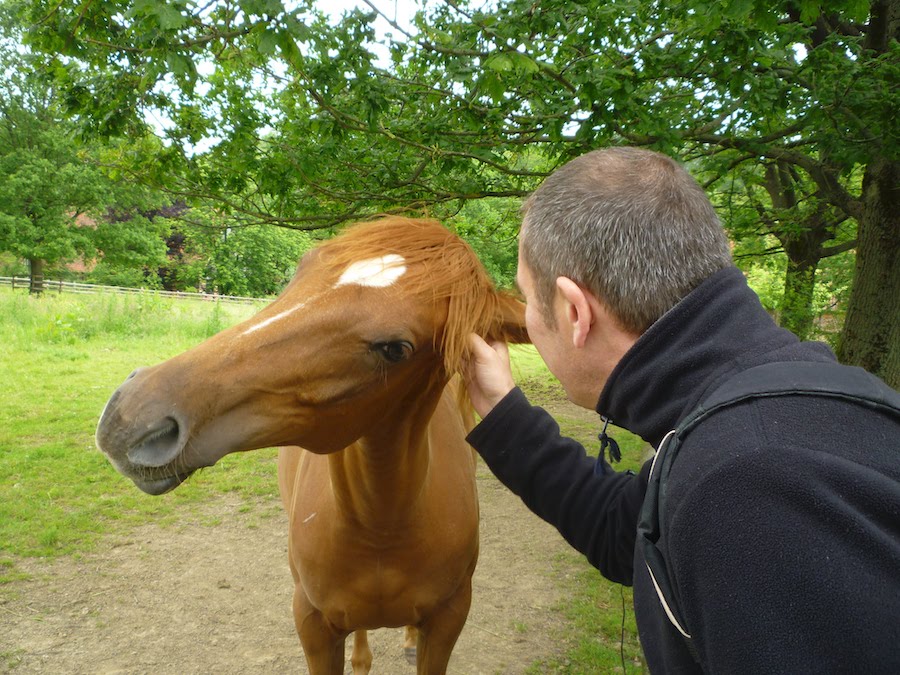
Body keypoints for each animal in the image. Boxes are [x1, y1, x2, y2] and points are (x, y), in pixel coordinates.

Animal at [96, 219, 528, 672]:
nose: (130, 415)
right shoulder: (313, 624)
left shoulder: (449, 620)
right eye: (302, 270)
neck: (382, 531)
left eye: (396, 349)